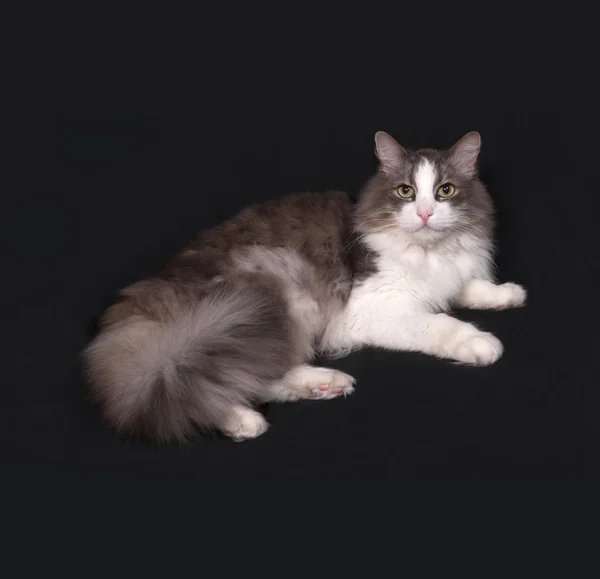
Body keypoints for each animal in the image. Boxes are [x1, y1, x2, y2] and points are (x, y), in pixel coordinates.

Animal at [83, 129, 524, 442]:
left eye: (445, 191)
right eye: (406, 191)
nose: (426, 213)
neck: (428, 253)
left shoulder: (448, 279)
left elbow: (469, 287)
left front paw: (507, 294)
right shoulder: (375, 309)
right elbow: (440, 324)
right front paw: (479, 343)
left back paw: (319, 386)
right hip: (267, 301)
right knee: (219, 380)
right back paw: (245, 419)